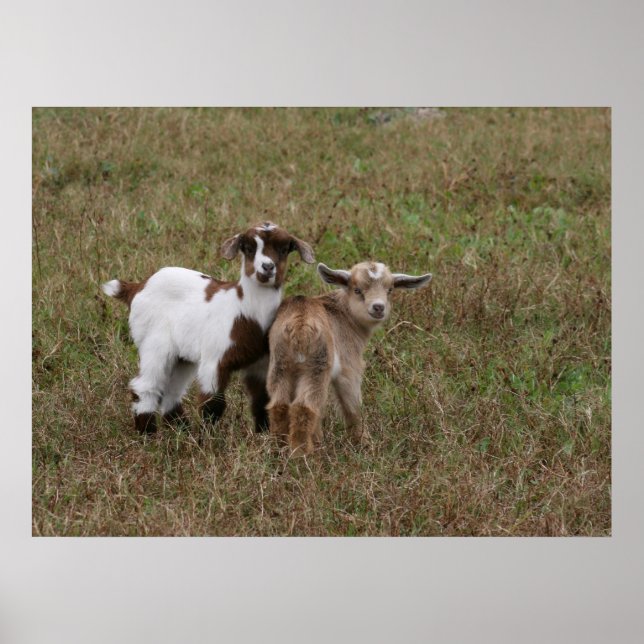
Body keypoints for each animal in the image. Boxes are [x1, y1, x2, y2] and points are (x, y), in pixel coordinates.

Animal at [102, 221, 315, 435]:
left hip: (182, 356)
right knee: (146, 385)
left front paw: (263, 436)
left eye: (284, 249)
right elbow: (213, 403)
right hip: (154, 341)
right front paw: (207, 437)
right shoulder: (215, 358)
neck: (244, 311)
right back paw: (149, 434)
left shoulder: (261, 363)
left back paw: (182, 431)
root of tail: (136, 287)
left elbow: (261, 400)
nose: (268, 267)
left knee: (172, 390)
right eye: (248, 248)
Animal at [266, 261, 432, 455]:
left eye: (390, 289)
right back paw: (303, 454)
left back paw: (278, 449)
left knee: (279, 405)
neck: (344, 315)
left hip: (280, 363)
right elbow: (352, 406)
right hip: (317, 365)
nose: (378, 307)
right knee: (304, 406)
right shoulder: (349, 366)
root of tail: (299, 325)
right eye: (357, 290)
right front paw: (364, 444)